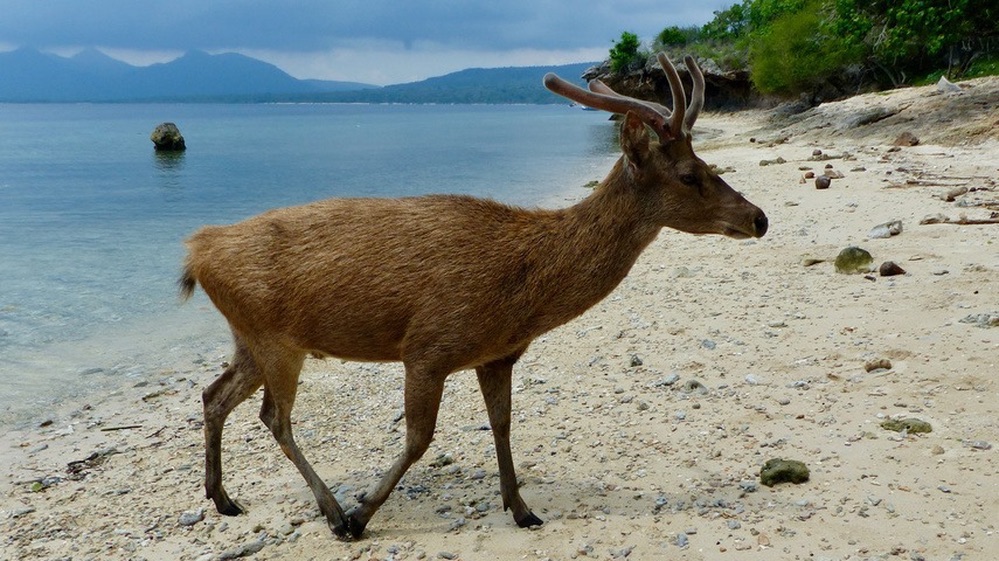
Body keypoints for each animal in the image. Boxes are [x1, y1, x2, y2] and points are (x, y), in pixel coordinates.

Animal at [180, 54, 768, 540]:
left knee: (215, 395)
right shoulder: (428, 345)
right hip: (273, 337)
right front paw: (363, 513)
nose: (759, 217)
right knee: (273, 417)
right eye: (691, 174)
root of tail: (196, 250)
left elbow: (503, 425)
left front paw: (522, 509)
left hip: (251, 338)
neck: (522, 295)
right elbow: (420, 438)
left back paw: (223, 499)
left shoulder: (497, 354)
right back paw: (331, 512)